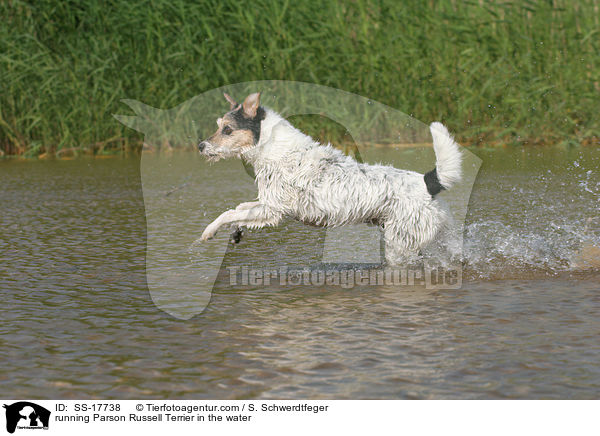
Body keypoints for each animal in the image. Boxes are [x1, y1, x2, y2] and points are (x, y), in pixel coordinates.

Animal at [199, 92, 462, 264]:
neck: (273, 147)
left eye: (227, 130)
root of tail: (428, 182)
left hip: (399, 246)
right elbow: (239, 209)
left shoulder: (272, 209)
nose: (200, 145)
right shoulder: (267, 205)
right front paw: (236, 232)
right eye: (219, 125)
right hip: (443, 238)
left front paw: (209, 231)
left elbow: (228, 213)